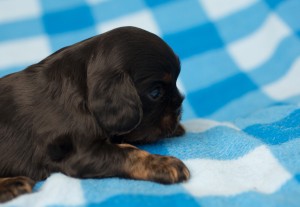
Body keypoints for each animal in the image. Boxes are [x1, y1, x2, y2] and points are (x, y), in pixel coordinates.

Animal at [0, 26, 190, 202]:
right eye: (156, 93)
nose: (179, 108)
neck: (82, 88)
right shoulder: (81, 154)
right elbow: (128, 152)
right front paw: (164, 163)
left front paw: (177, 127)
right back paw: (13, 184)